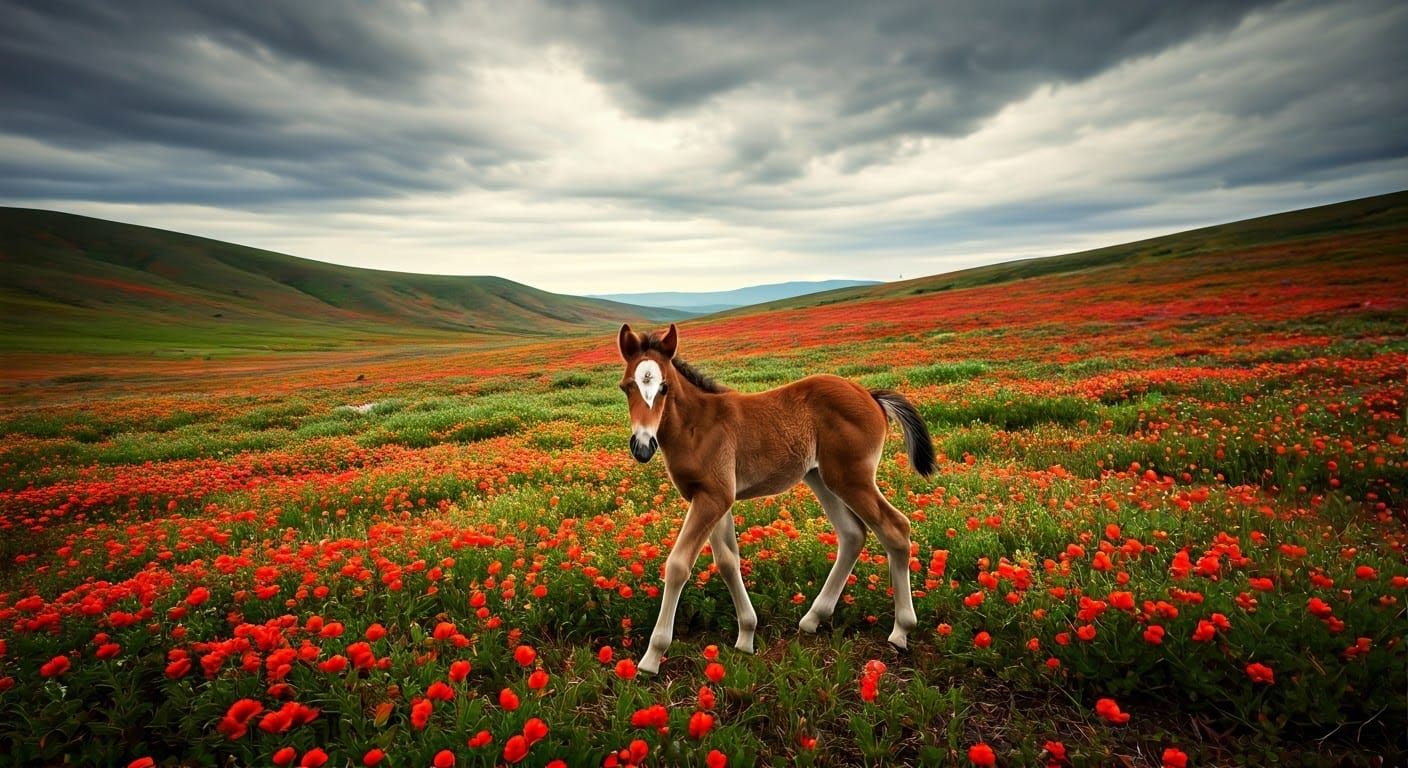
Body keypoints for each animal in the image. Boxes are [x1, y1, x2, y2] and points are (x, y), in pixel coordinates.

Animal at [617, 323, 936, 674]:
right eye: (627, 387)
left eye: (664, 388)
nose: (642, 446)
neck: (697, 426)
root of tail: (871, 395)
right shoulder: (712, 498)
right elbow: (728, 561)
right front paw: (746, 636)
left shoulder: (713, 498)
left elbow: (677, 565)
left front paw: (652, 657)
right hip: (821, 477)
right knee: (853, 534)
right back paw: (812, 618)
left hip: (852, 479)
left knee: (896, 529)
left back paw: (901, 630)